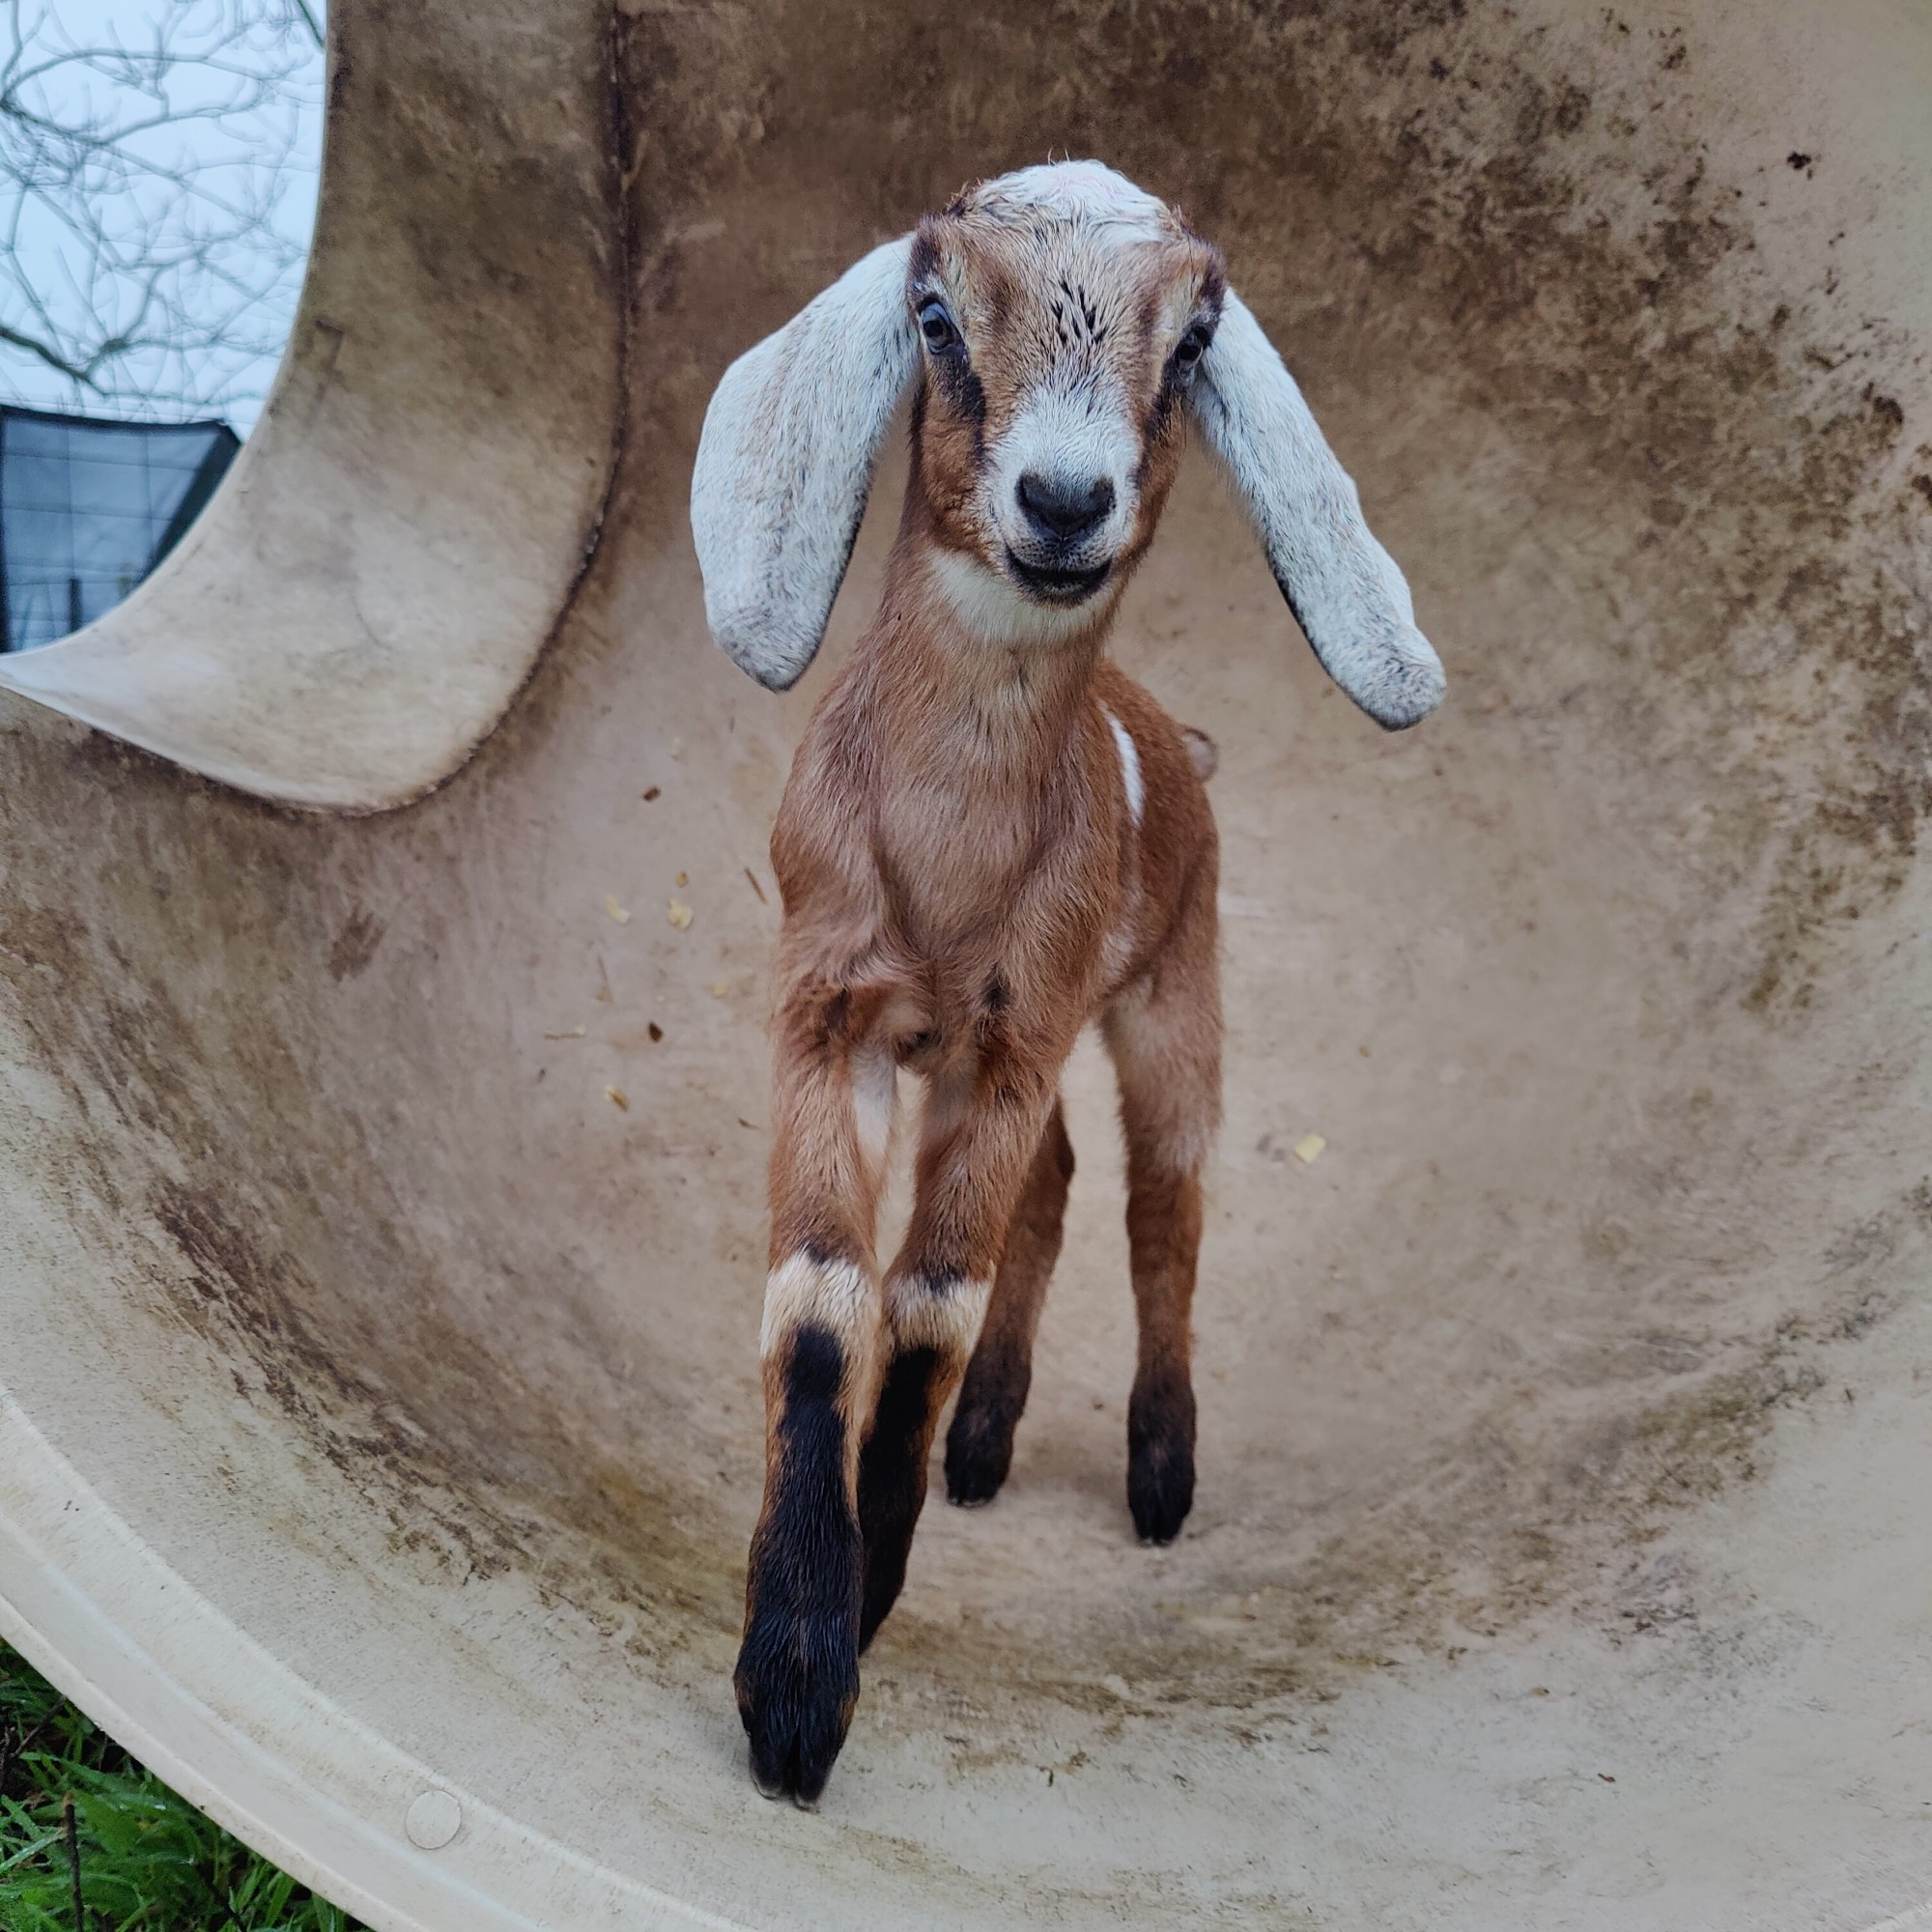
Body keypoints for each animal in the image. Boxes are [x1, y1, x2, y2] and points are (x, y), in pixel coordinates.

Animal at [692, 158, 1437, 1801]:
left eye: (1194, 340)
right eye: (934, 312)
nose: (1063, 501)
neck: (951, 864)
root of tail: (1173, 738)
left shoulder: (1009, 1044)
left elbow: (926, 1309)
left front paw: (853, 1622)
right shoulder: (834, 1018)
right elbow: (830, 1304)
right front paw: (795, 1670)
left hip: (1170, 1004)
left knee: (1165, 1201)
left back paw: (1160, 1467)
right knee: (1058, 1183)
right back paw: (988, 1440)